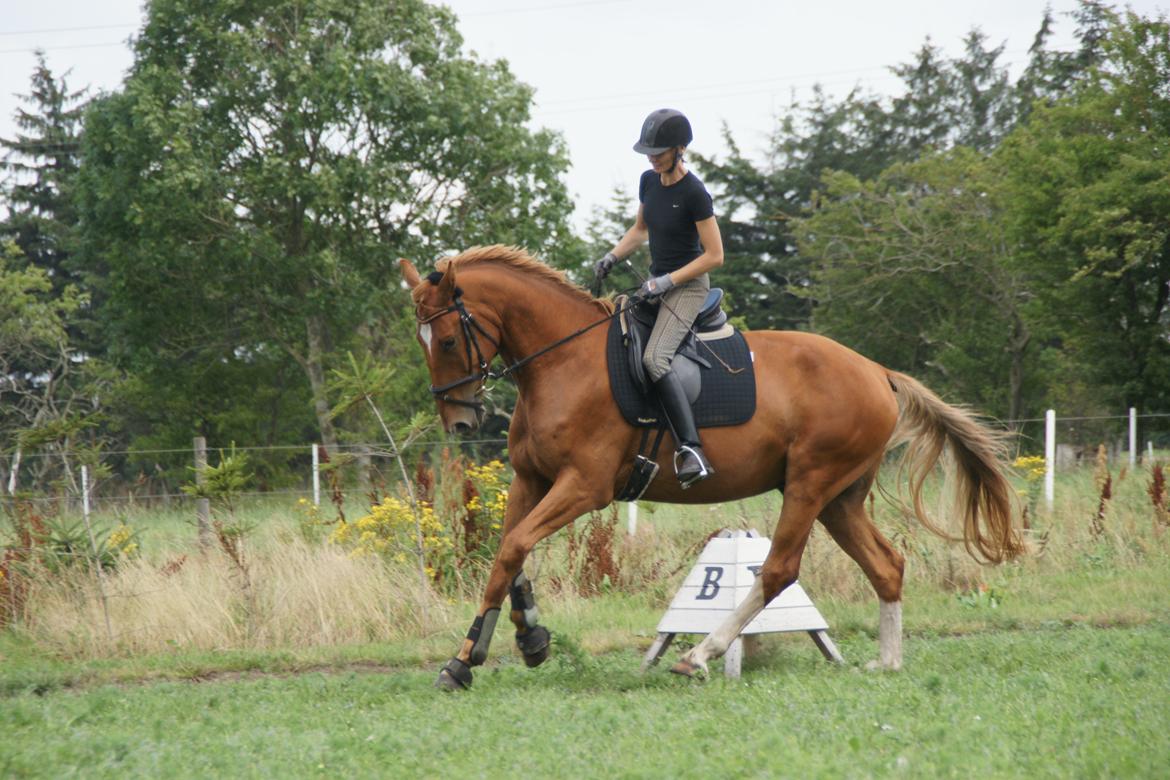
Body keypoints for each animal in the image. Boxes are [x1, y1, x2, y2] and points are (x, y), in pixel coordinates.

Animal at [402, 245, 1024, 687]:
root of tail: (876, 371)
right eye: (423, 340)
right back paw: (888, 662)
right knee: (886, 565)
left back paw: (701, 655)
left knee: (779, 569)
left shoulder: (583, 486)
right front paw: (522, 640)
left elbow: (512, 547)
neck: (561, 362)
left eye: (450, 340)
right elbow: (509, 555)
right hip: (840, 499)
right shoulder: (532, 481)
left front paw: (468, 659)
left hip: (810, 484)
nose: (458, 422)